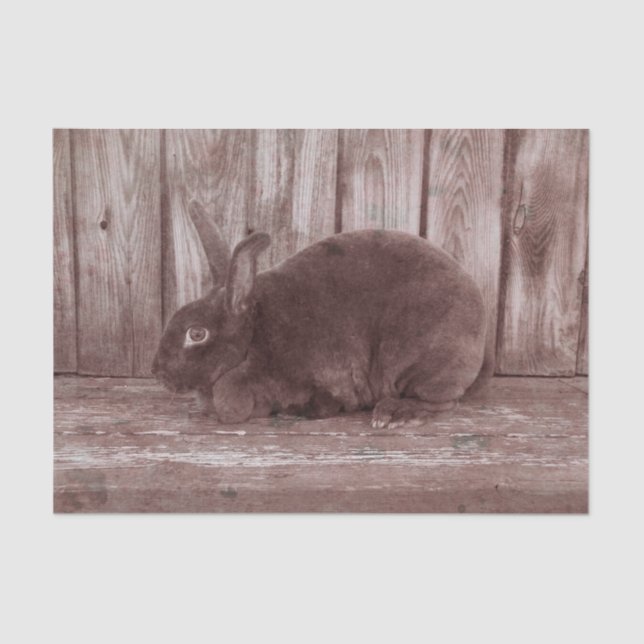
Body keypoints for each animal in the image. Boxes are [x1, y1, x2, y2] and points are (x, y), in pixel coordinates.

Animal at [152, 200, 492, 429]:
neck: (251, 339)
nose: (157, 371)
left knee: (444, 402)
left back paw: (393, 414)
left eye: (196, 333)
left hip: (422, 362)